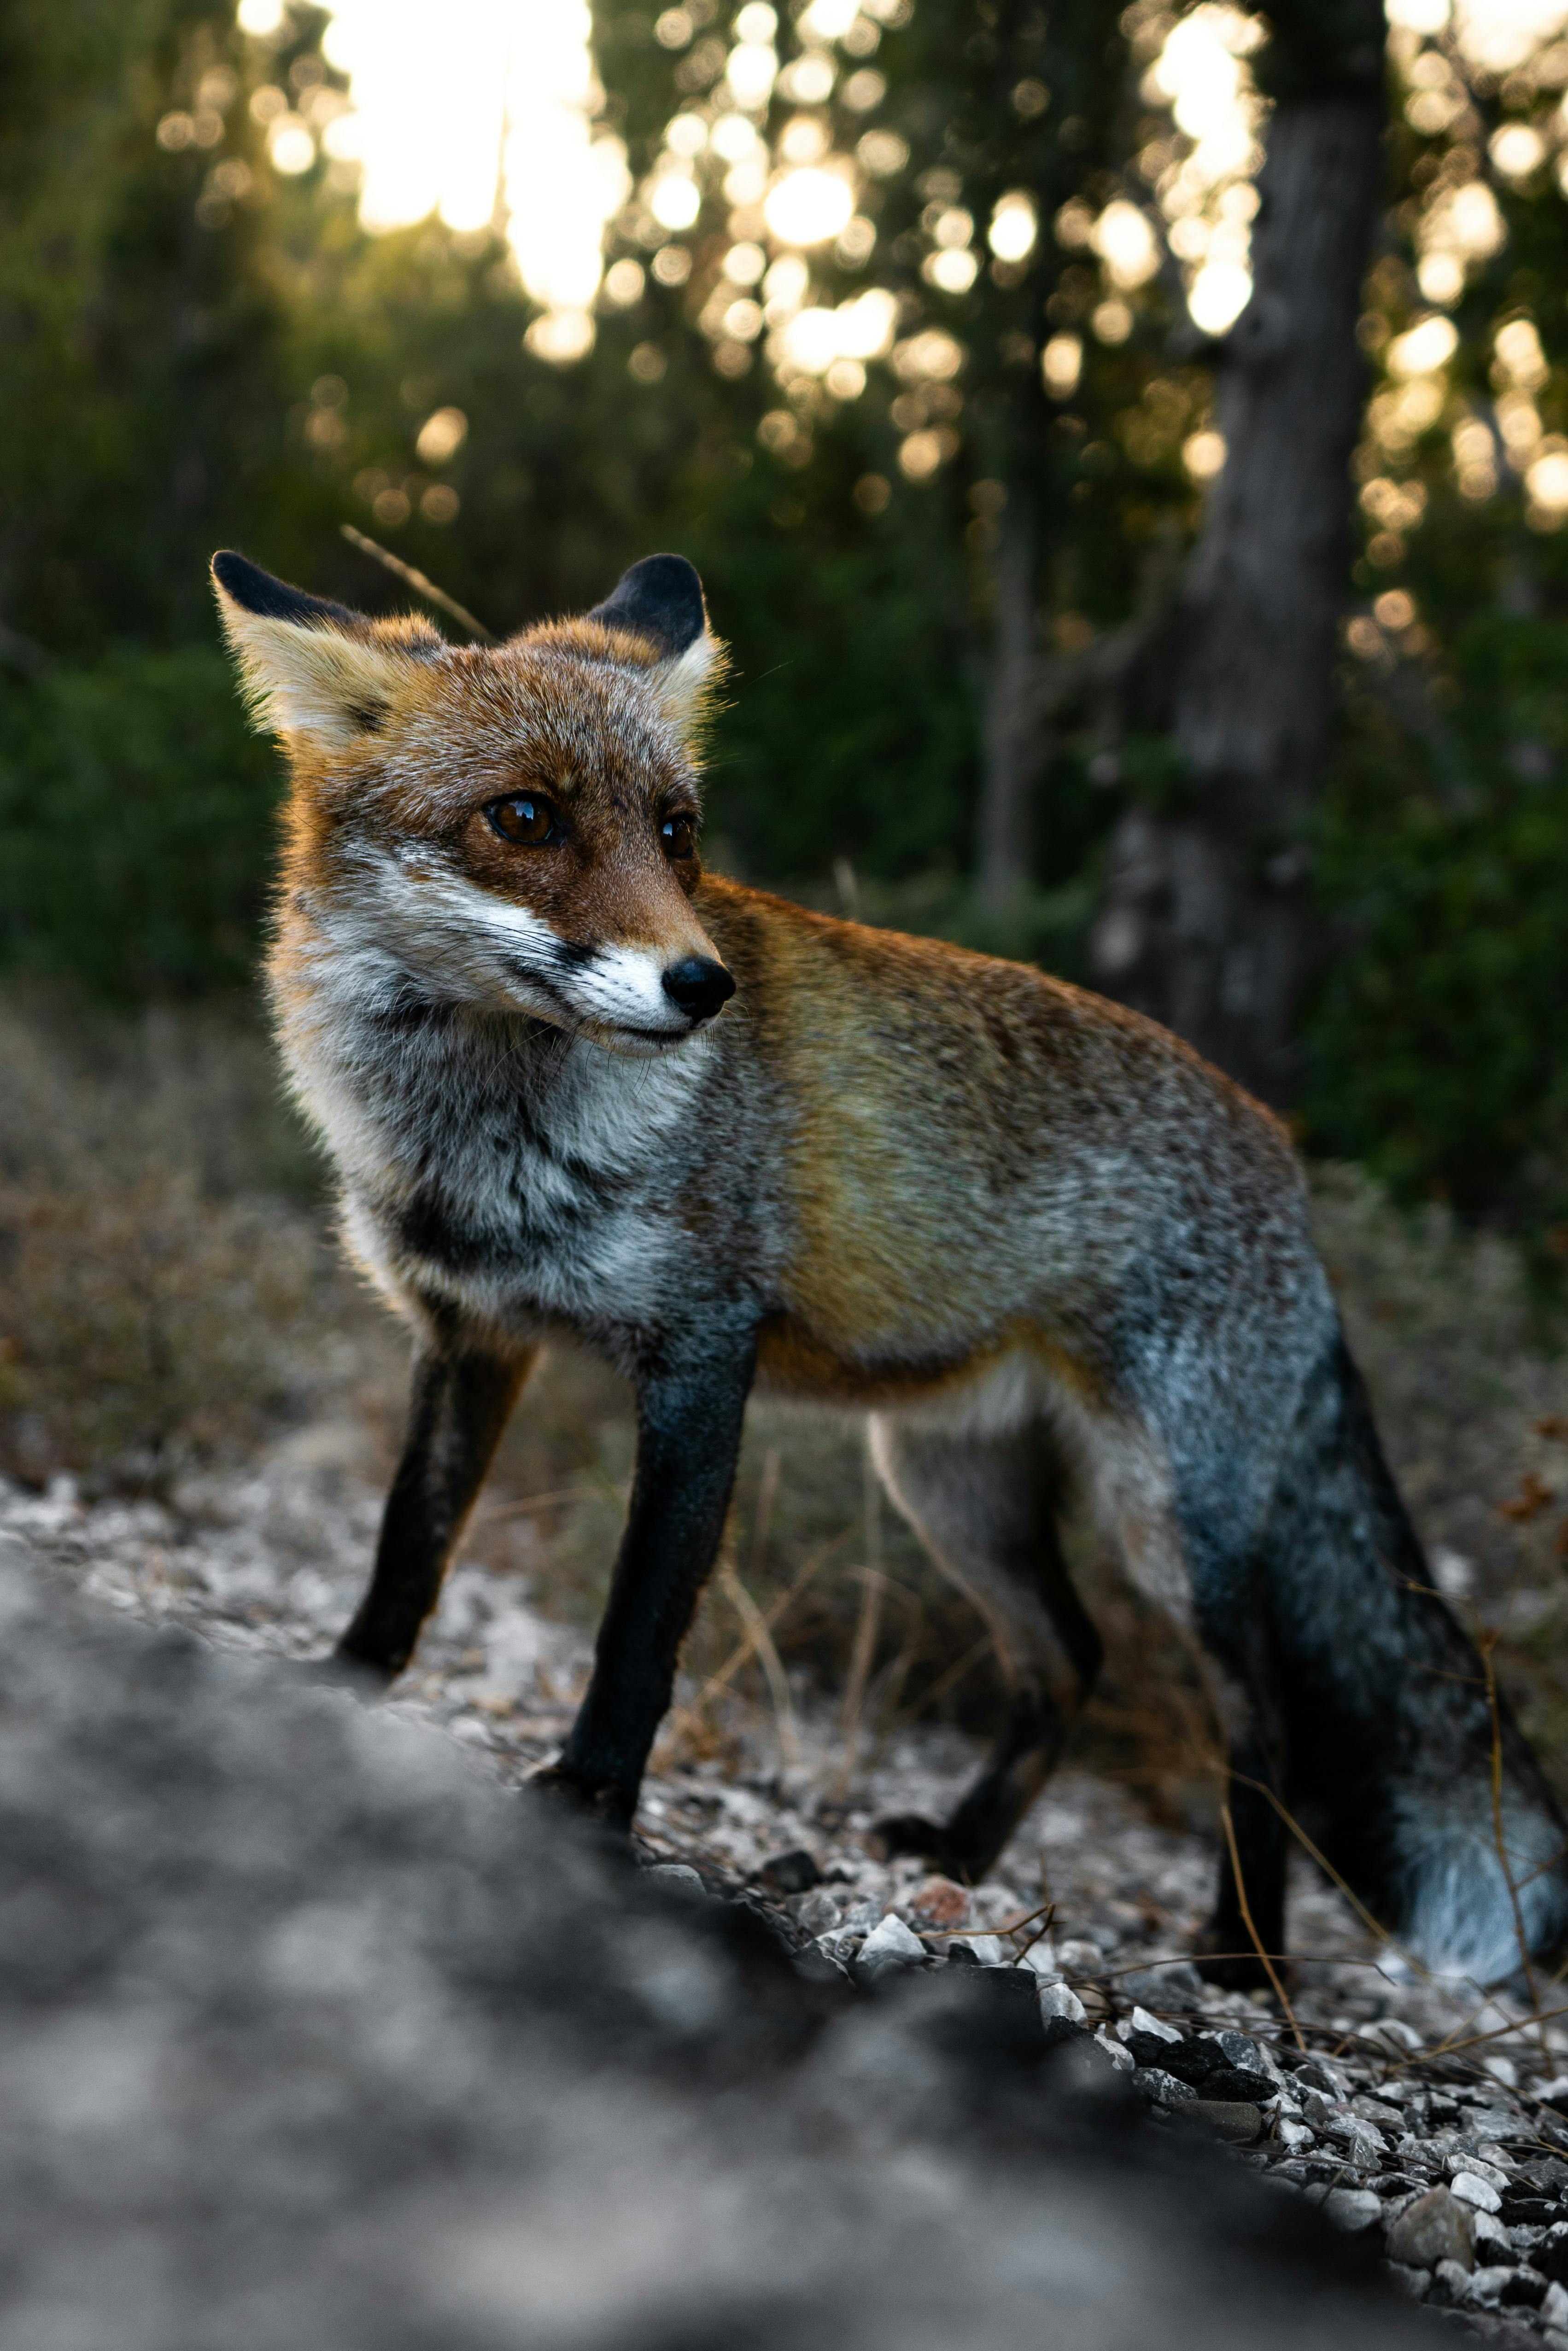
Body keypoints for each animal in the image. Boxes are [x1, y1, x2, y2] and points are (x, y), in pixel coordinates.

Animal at [212, 542, 1568, 1987]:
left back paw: (1241, 1950)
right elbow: (408, 1547)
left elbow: (639, 1628)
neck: (483, 1141)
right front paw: (344, 1687)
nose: (704, 986)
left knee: (1259, 1719)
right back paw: (965, 1853)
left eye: (677, 831)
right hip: (947, 1487)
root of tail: (1290, 1170)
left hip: (1166, 1521)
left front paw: (589, 1800)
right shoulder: (473, 1336)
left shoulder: (701, 1359)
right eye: (524, 818)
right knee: (1069, 1659)